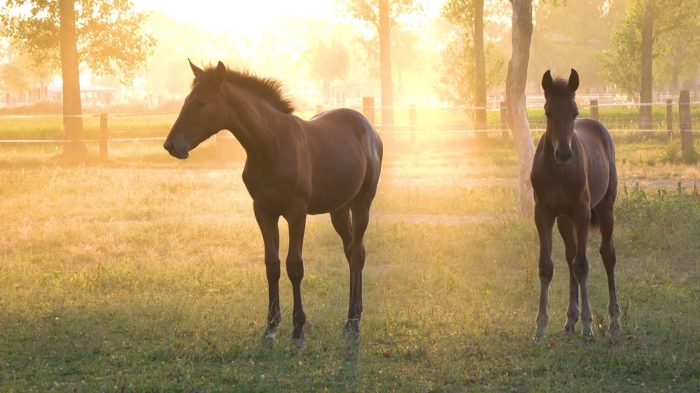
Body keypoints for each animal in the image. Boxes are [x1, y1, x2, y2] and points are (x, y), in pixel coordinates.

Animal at [164, 59, 382, 346]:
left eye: (201, 103)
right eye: (187, 100)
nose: (171, 145)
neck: (270, 146)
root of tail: (369, 128)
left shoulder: (296, 212)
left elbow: (294, 266)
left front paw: (298, 330)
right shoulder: (263, 211)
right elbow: (272, 265)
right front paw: (270, 328)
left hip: (362, 204)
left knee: (356, 254)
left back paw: (353, 324)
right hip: (338, 209)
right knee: (352, 252)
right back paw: (353, 316)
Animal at [532, 69, 616, 338]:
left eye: (574, 112)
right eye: (548, 112)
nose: (564, 153)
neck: (558, 172)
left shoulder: (581, 213)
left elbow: (582, 265)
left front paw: (588, 325)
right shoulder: (544, 214)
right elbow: (546, 266)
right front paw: (540, 326)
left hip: (605, 209)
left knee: (607, 255)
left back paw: (614, 321)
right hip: (564, 220)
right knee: (570, 256)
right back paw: (570, 321)